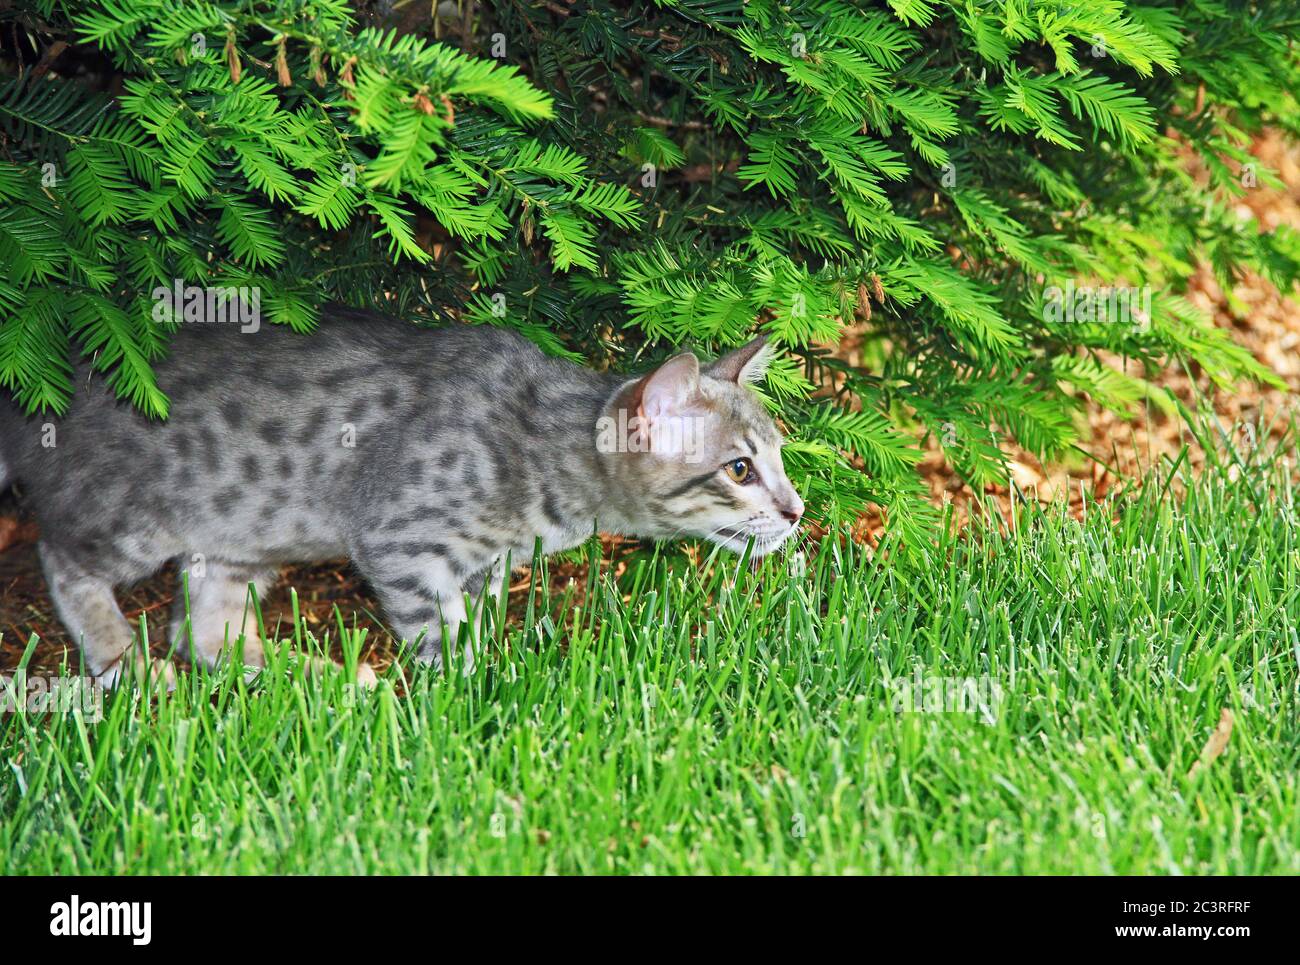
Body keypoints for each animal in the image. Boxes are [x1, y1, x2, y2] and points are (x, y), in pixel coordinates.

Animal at [0, 305, 800, 686]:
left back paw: (316, 676)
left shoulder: (482, 565)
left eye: (781, 458)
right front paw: (472, 693)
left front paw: (498, 668)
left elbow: (476, 621)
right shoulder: (401, 541)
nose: (796, 511)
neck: (538, 441)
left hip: (243, 529)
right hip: (133, 518)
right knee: (62, 557)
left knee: (204, 633)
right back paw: (121, 661)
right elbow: (441, 633)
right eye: (739, 470)